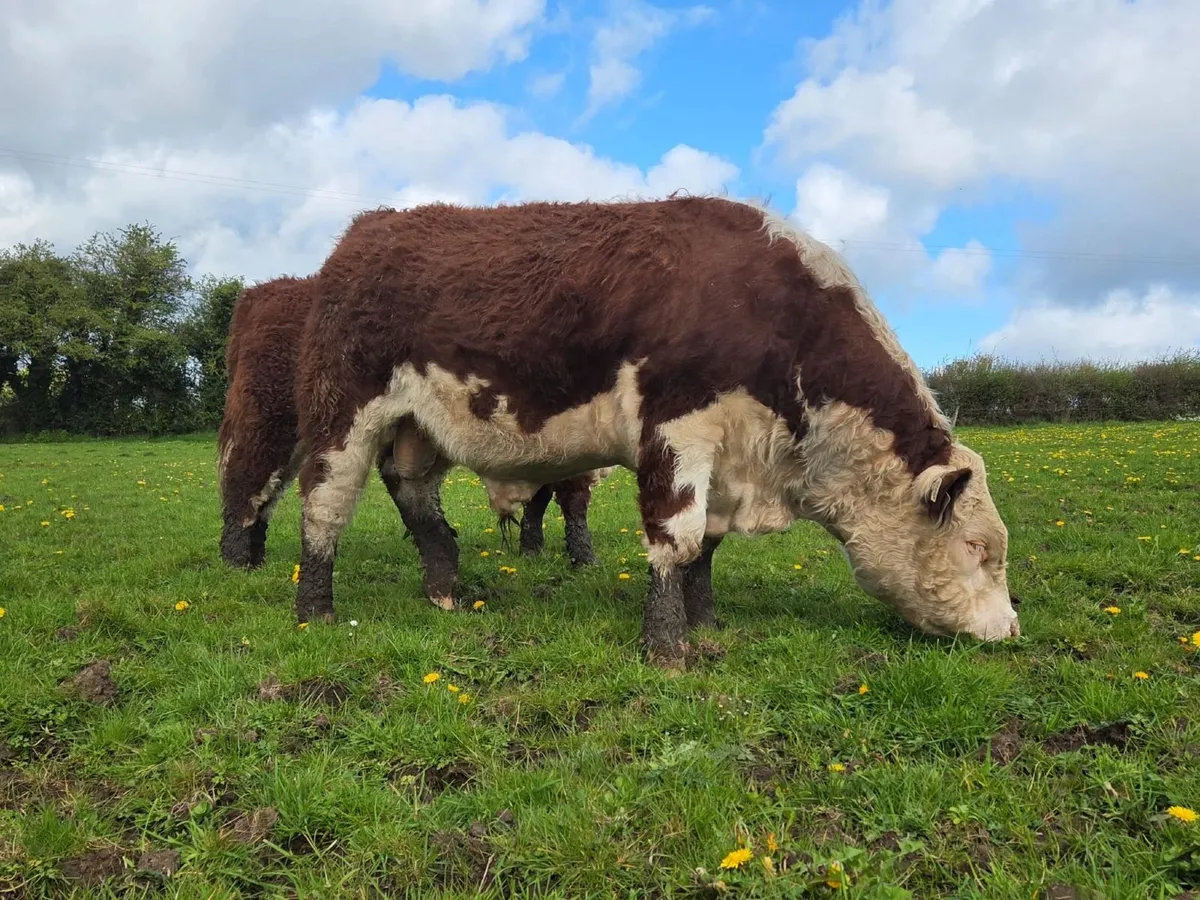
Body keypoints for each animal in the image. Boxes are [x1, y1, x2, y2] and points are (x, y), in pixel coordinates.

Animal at [216, 275, 610, 609]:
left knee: (269, 494)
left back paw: (256, 561)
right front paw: (585, 559)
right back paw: (235, 563)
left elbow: (540, 501)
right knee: (247, 482)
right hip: (271, 421)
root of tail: (261, 293)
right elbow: (573, 501)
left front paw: (533, 550)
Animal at [292, 196, 1019, 670]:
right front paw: (667, 645)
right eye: (978, 547)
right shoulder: (677, 430)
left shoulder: (727, 456)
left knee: (414, 494)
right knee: (326, 503)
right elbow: (678, 537)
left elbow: (708, 548)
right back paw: (315, 608)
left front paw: (707, 620)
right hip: (342, 414)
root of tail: (368, 230)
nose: (1009, 629)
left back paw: (446, 588)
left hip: (420, 428)